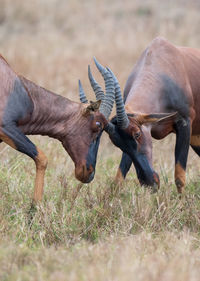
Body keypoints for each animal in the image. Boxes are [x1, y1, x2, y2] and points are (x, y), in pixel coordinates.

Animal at [0, 54, 115, 200]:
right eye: (98, 125)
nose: (90, 173)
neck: (21, 89)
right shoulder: (5, 126)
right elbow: (42, 158)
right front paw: (35, 205)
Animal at [91, 37, 199, 192]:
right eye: (117, 143)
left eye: (137, 134)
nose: (150, 183)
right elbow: (119, 178)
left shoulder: (185, 123)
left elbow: (179, 177)